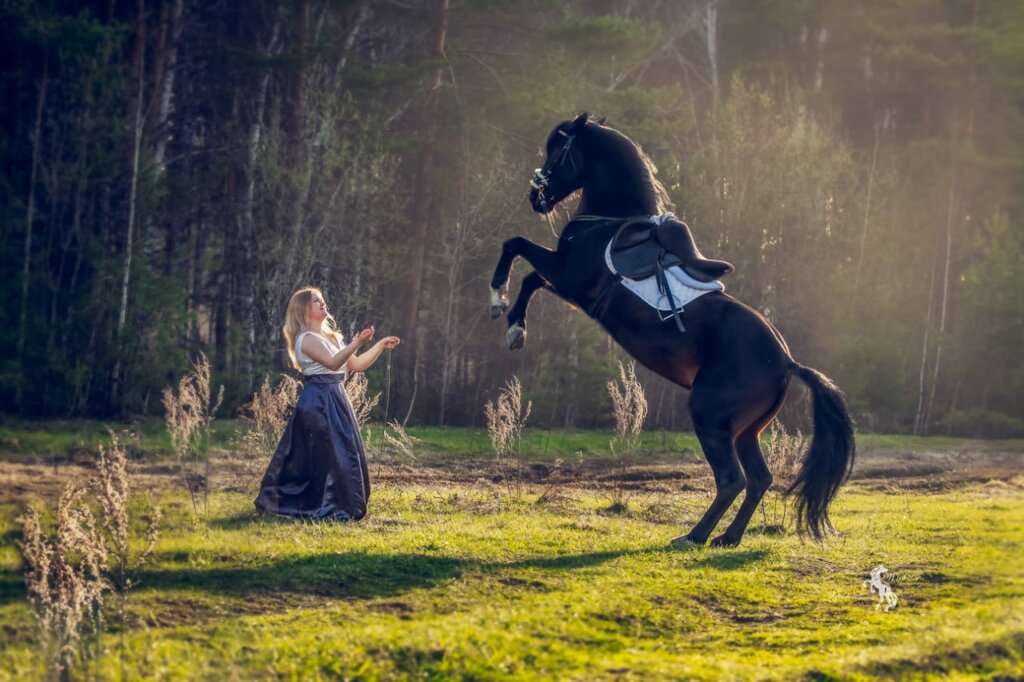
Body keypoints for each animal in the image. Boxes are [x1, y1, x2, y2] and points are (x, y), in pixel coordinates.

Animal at [488, 113, 855, 546]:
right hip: (747, 430)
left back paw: (694, 536)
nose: (536, 197)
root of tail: (786, 361)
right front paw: (513, 323)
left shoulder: (569, 277)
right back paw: (727, 538)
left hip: (710, 416)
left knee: (732, 480)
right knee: (758, 479)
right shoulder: (566, 283)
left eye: (558, 150)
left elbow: (517, 249)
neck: (609, 223)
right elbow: (529, 274)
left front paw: (502, 307)